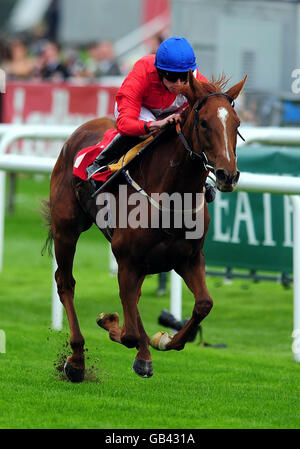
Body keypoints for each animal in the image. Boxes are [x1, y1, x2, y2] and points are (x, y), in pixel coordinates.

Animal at [43, 72, 247, 380]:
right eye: (203, 122)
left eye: (236, 123)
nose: (227, 175)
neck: (173, 197)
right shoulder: (128, 260)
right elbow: (127, 332)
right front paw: (110, 322)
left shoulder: (188, 258)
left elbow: (203, 305)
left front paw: (162, 339)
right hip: (66, 227)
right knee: (65, 282)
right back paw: (77, 361)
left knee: (133, 299)